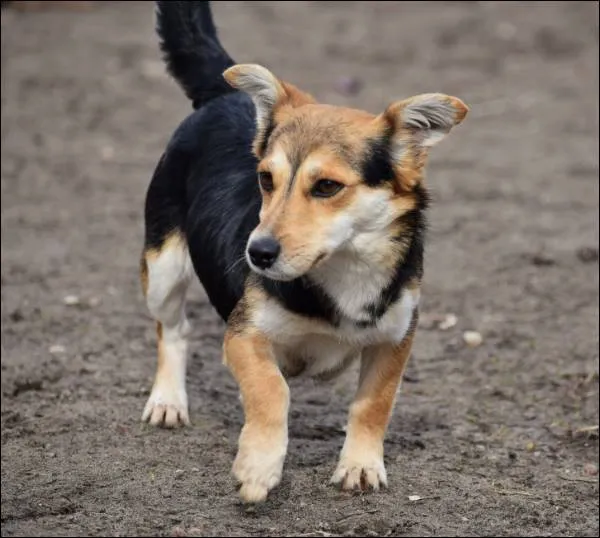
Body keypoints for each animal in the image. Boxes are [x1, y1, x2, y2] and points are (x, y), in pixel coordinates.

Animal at [139, 1, 468, 502]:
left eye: (327, 186)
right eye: (265, 179)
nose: (257, 253)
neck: (345, 269)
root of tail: (223, 95)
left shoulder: (395, 339)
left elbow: (374, 404)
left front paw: (360, 465)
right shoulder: (244, 335)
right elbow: (272, 390)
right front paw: (258, 465)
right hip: (164, 267)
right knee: (173, 330)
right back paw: (168, 400)